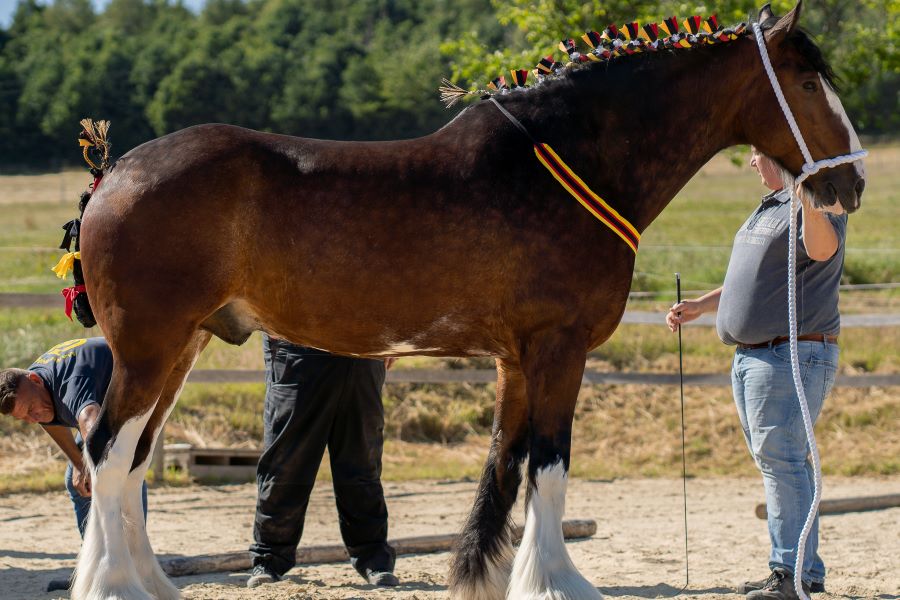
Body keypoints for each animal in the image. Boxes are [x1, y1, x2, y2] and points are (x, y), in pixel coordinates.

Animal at [72, 2, 864, 599]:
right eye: (805, 81)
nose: (851, 184)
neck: (569, 161)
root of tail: (117, 172)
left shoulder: (517, 361)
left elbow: (503, 465)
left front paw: (487, 575)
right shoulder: (558, 350)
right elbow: (548, 465)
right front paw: (557, 582)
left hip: (182, 348)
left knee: (132, 460)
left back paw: (152, 585)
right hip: (148, 351)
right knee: (106, 453)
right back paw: (113, 586)